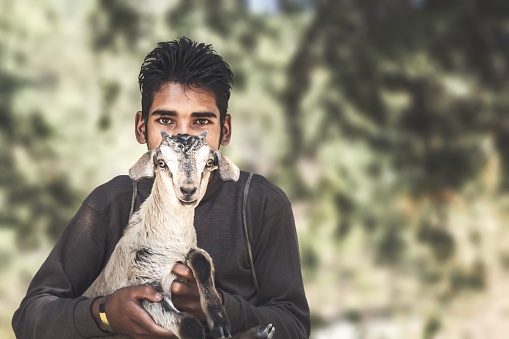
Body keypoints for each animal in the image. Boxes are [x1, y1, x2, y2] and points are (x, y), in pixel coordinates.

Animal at [83, 132, 274, 339]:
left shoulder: (189, 253)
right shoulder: (145, 286)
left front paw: (220, 324)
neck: (169, 242)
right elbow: (190, 325)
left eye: (209, 162)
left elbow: (202, 260)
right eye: (161, 163)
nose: (188, 190)